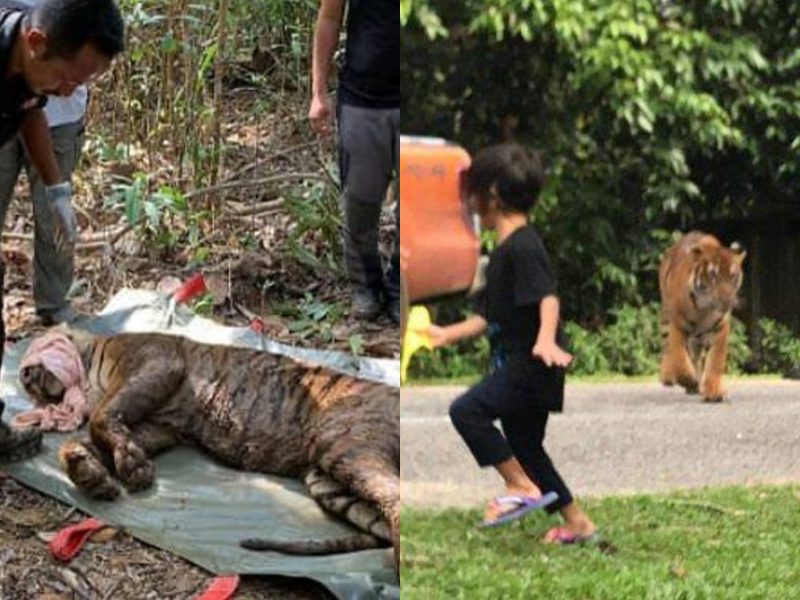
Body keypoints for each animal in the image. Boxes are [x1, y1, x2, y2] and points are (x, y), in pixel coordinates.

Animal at [20, 330, 400, 568]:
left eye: (31, 359)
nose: (24, 377)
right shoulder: (159, 428)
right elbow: (92, 438)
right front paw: (89, 472)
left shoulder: (156, 364)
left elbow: (101, 417)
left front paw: (129, 468)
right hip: (328, 480)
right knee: (383, 513)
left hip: (345, 446)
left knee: (394, 498)